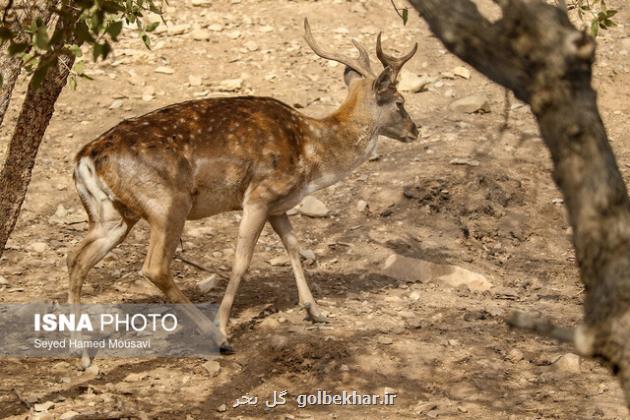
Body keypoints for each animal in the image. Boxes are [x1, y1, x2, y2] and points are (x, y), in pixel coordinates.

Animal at [68, 18, 420, 360]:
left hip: (112, 216)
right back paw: (216, 339)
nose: (415, 130)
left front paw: (315, 311)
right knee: (154, 268)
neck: (313, 154)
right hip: (166, 203)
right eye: (400, 102)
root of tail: (84, 159)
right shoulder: (259, 195)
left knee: (76, 260)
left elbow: (294, 247)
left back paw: (83, 355)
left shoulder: (279, 205)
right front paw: (223, 325)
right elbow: (241, 262)